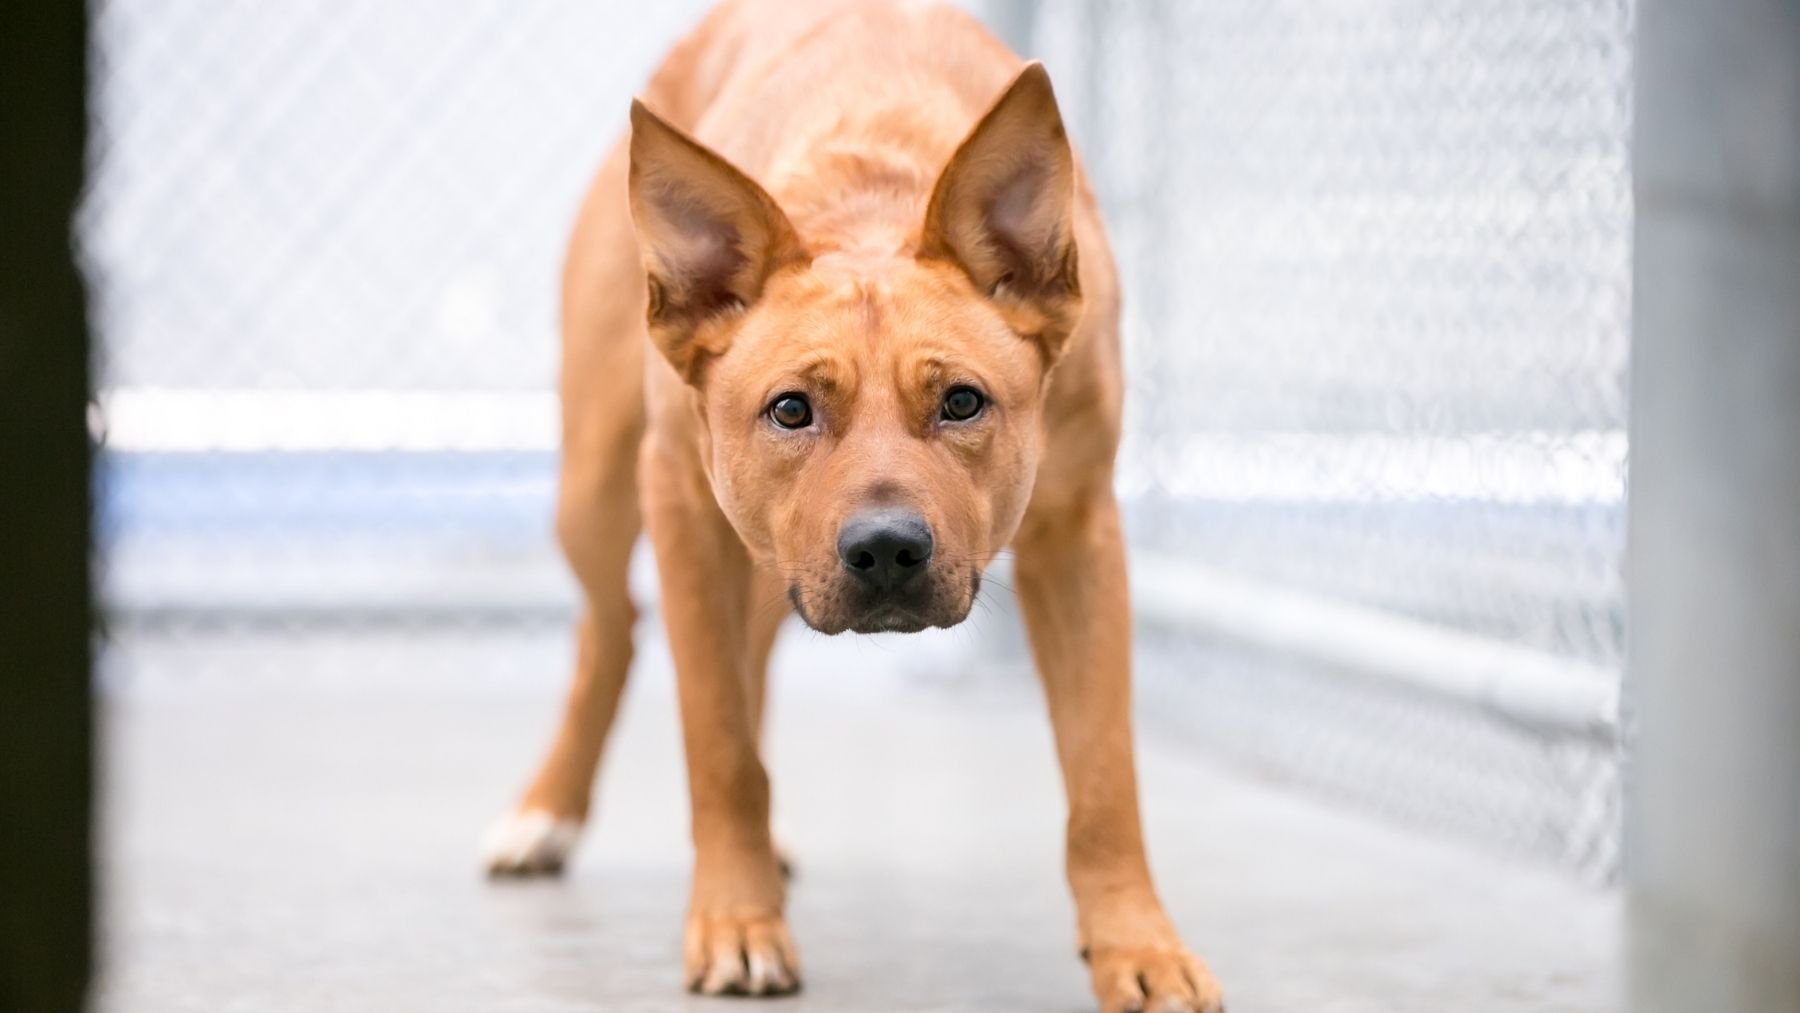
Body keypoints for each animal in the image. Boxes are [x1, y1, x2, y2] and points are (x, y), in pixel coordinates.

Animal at [482, 3, 1224, 1007]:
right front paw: (737, 920)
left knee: (742, 652)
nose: (885, 550)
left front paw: (1137, 945)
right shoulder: (680, 504)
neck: (870, 197)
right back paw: (547, 813)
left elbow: (1104, 773)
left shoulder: (1079, 533)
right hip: (595, 489)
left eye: (962, 402)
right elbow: (716, 741)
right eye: (792, 409)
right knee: (614, 632)